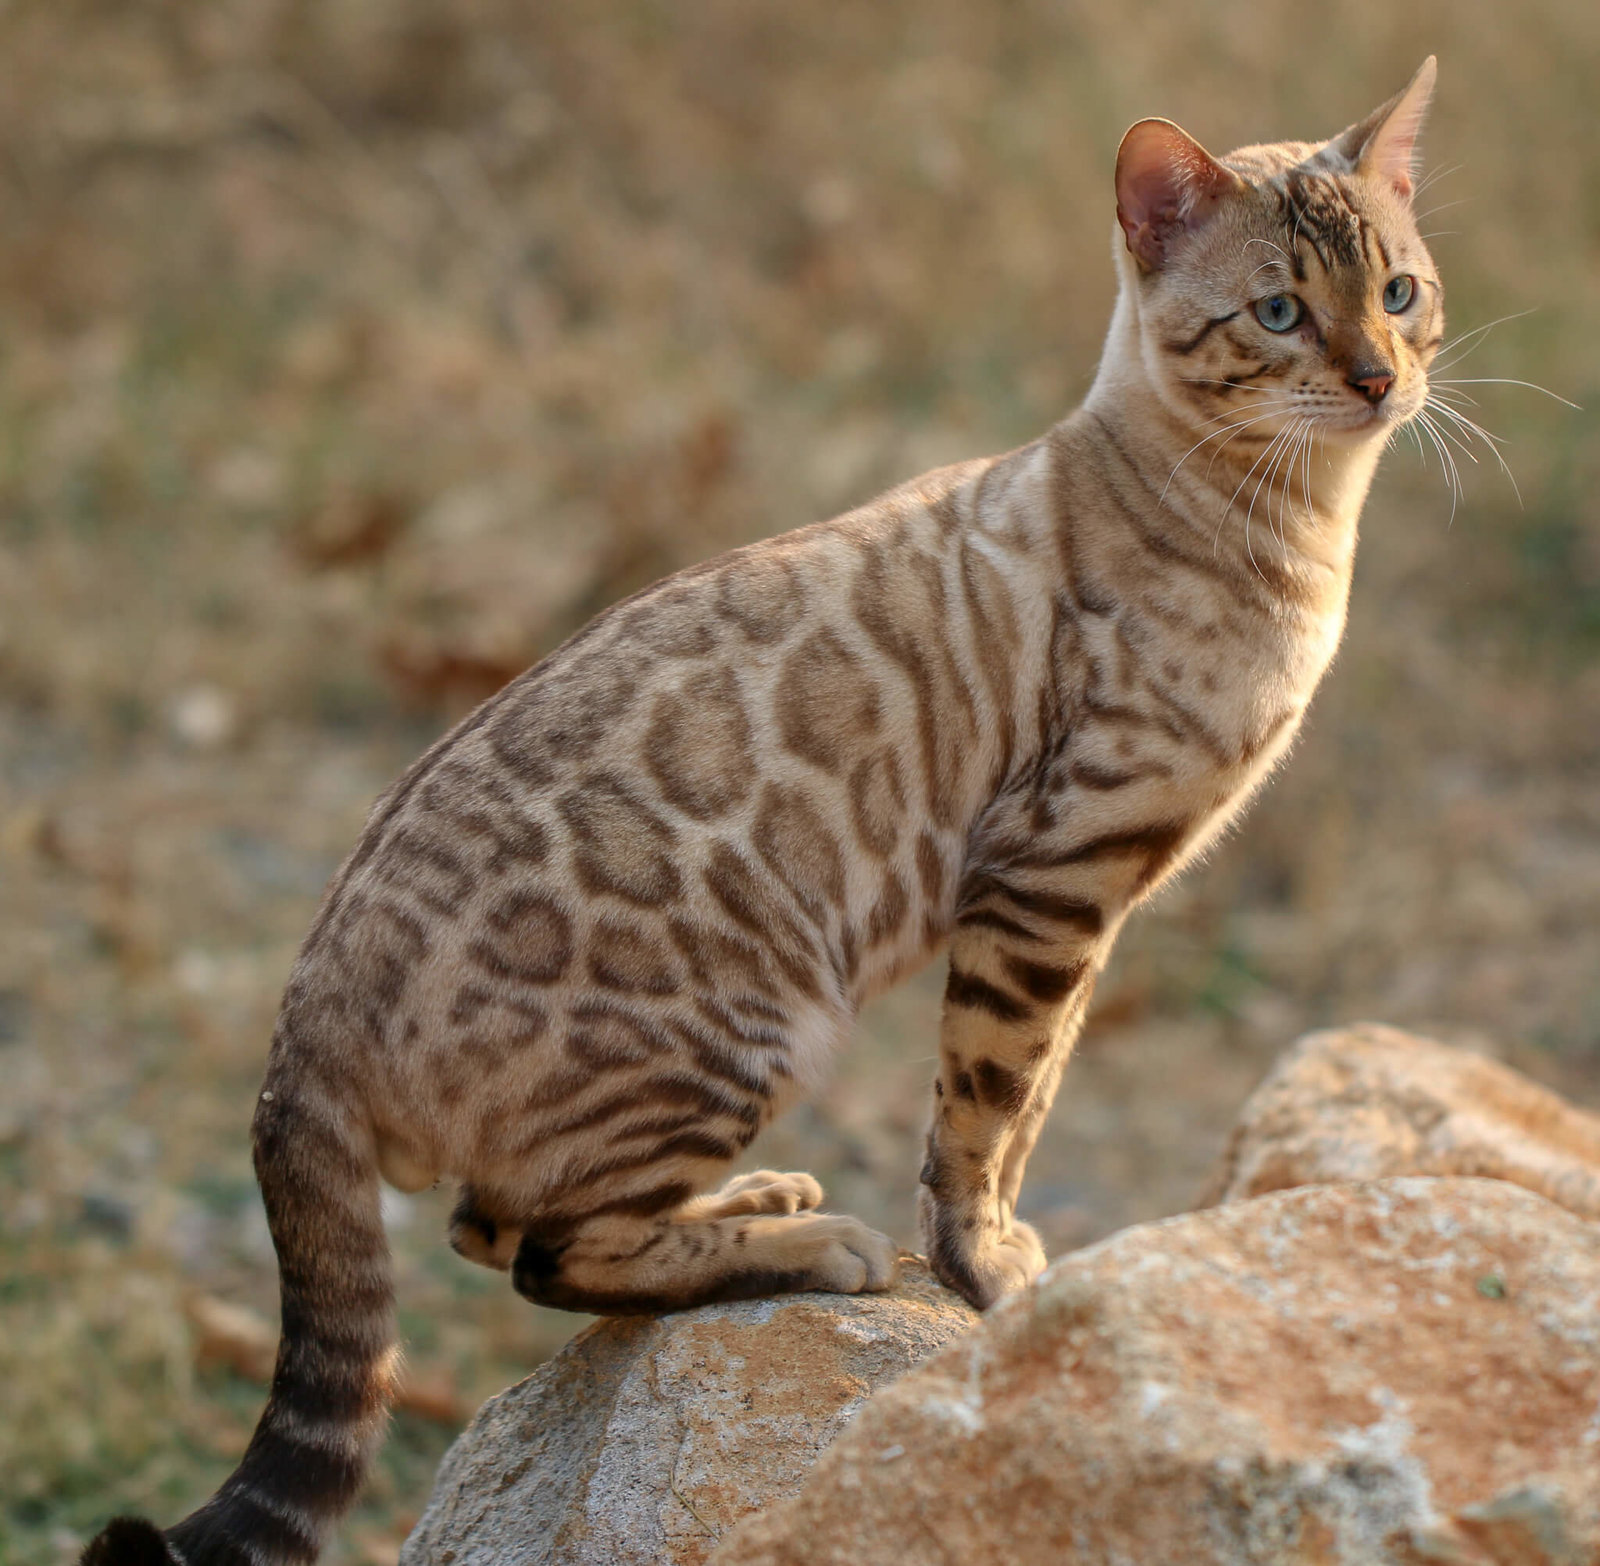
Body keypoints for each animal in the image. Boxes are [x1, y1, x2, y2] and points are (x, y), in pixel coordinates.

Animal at [84, 57, 1440, 1566]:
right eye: (1279, 311)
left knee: (492, 1226)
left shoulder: (1100, 899)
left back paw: (757, 1204)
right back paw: (808, 1245)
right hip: (759, 1021)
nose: (1382, 379)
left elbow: (1032, 1098)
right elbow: (988, 1106)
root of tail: (294, 1031)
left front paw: (998, 1246)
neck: (1296, 541)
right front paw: (986, 1270)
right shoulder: (1051, 875)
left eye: (1396, 291)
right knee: (544, 1245)